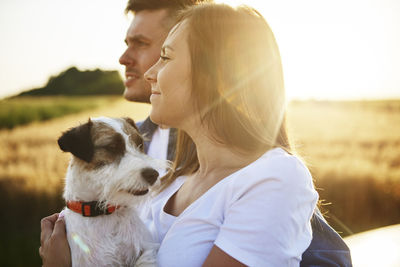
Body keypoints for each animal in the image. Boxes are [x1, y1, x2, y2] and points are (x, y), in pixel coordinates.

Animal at [57, 117, 163, 267]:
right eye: (112, 147)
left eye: (140, 144)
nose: (153, 174)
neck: (105, 214)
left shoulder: (146, 248)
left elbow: (146, 259)